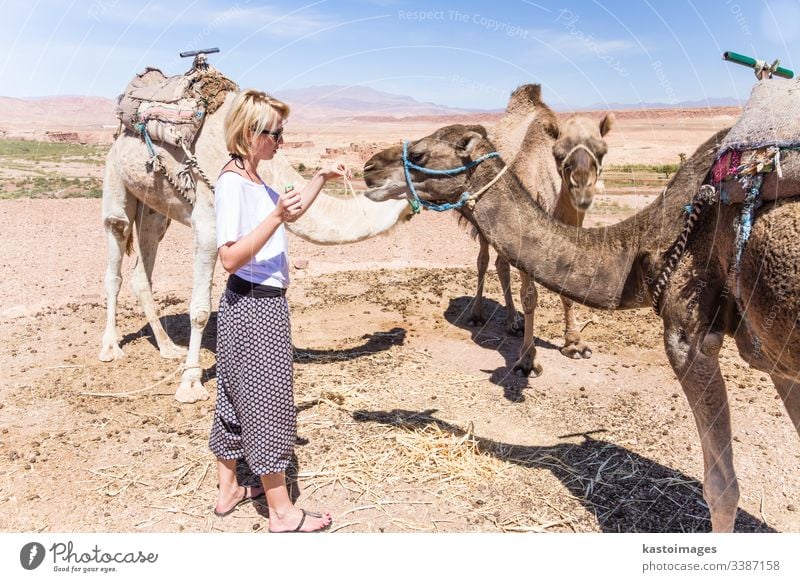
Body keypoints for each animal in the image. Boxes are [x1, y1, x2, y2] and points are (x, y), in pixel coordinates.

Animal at [468, 85, 612, 378]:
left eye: (601, 151)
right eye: (559, 154)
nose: (582, 189)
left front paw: (574, 344)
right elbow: (530, 296)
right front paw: (527, 360)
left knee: (501, 264)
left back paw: (513, 322)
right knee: (483, 260)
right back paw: (477, 315)